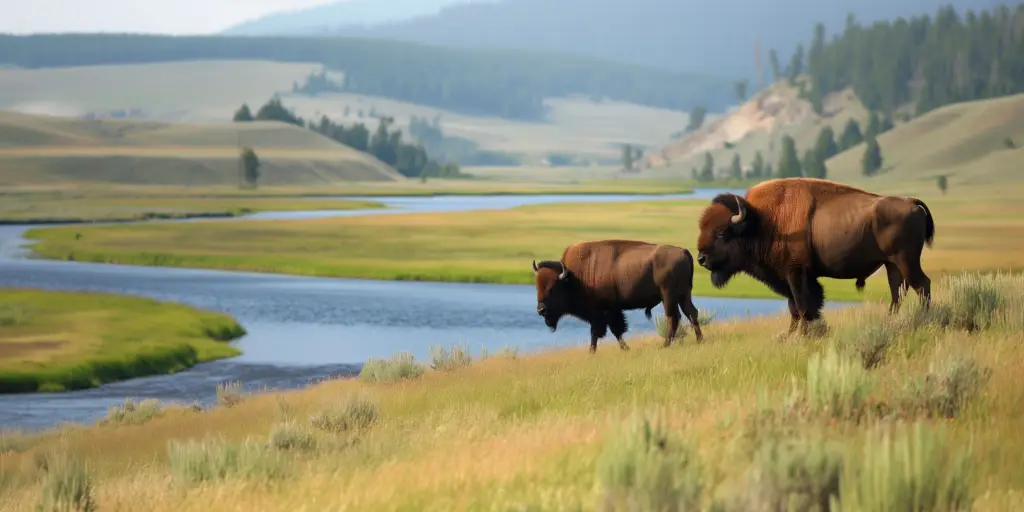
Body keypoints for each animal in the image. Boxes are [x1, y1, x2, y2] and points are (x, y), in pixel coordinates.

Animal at [536, 238, 704, 352]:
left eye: (552, 288)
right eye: (537, 287)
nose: (540, 310)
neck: (573, 277)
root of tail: (684, 251)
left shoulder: (602, 312)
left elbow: (602, 331)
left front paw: (593, 352)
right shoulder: (609, 311)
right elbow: (613, 331)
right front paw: (623, 348)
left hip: (668, 296)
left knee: (673, 317)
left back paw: (665, 345)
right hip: (683, 294)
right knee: (691, 313)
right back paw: (699, 340)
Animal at [696, 178, 937, 337]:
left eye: (721, 232)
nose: (701, 259)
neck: (763, 221)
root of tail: (912, 202)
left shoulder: (795, 272)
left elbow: (802, 305)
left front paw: (802, 334)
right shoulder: (793, 278)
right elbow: (797, 307)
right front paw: (792, 335)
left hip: (906, 260)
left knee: (922, 284)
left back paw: (923, 319)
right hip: (891, 264)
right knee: (898, 292)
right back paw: (890, 320)